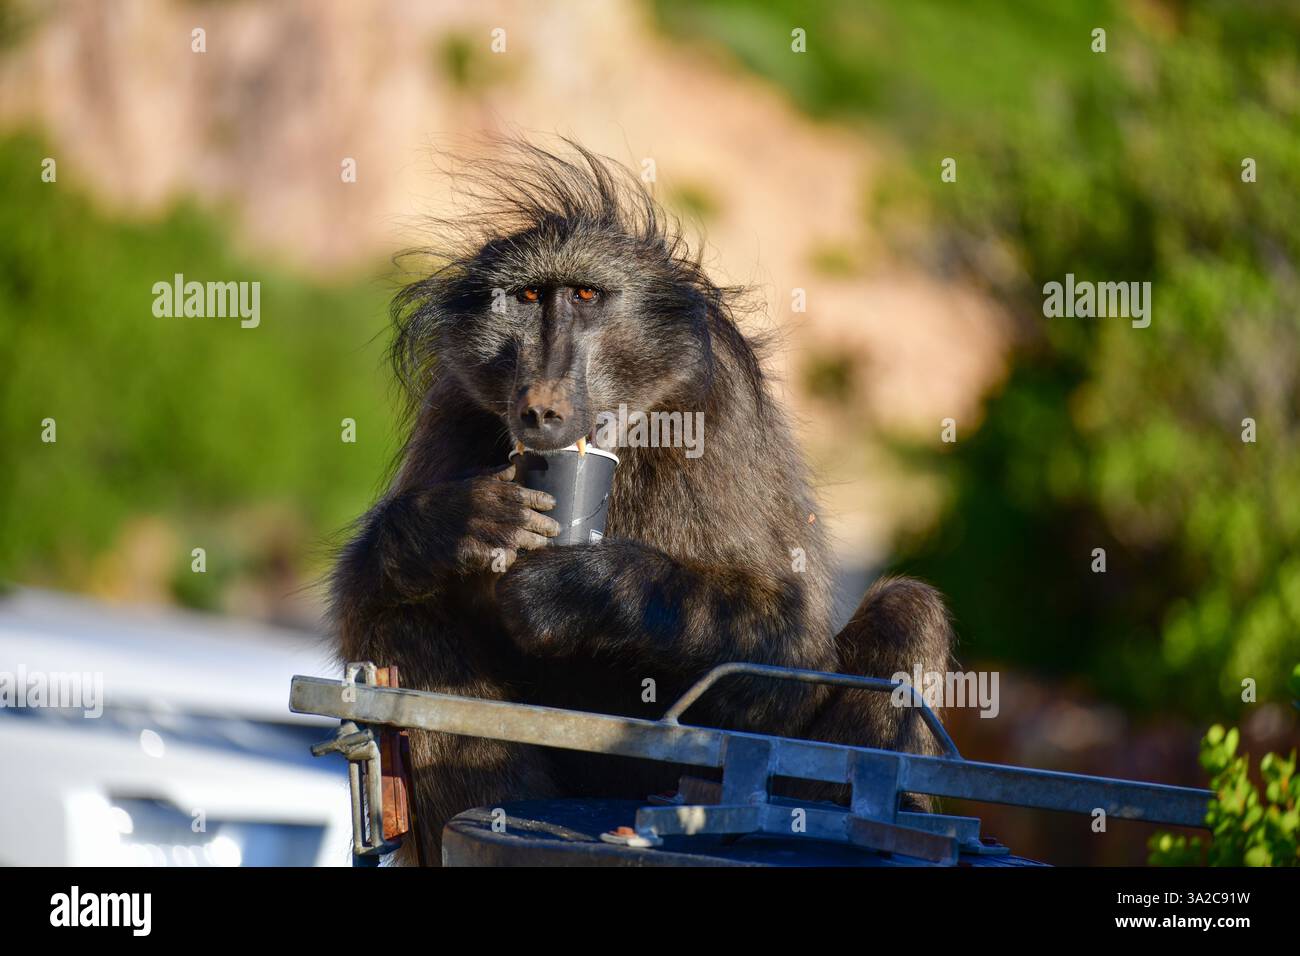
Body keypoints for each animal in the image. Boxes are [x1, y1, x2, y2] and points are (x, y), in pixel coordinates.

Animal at [329, 139, 955, 864]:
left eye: (586, 295)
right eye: (529, 296)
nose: (541, 406)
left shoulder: (719, 414)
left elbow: (791, 661)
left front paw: (581, 586)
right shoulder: (456, 406)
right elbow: (359, 604)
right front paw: (455, 524)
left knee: (908, 613)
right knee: (406, 618)